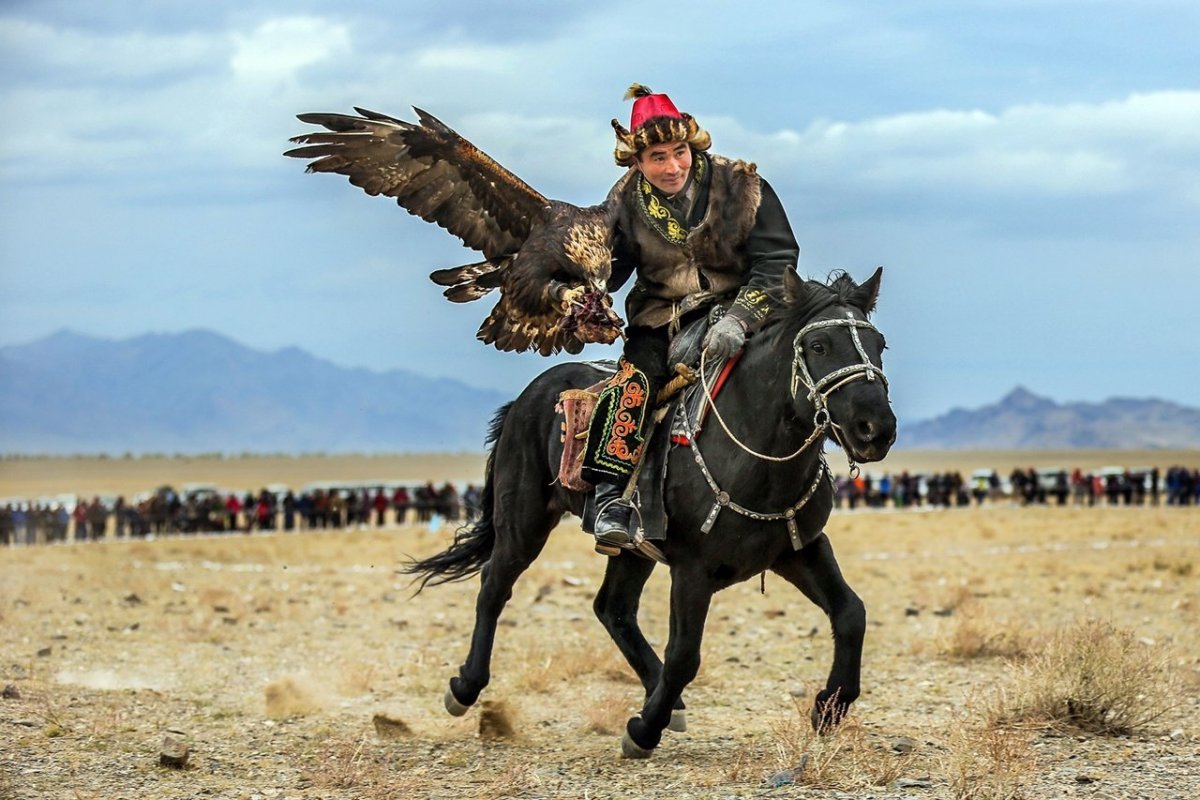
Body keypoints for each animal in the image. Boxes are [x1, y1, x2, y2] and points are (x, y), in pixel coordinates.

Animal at [408, 267, 897, 758]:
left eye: (880, 345)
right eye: (818, 346)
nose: (875, 428)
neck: (752, 454)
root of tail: (526, 398)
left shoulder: (800, 549)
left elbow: (851, 614)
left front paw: (829, 706)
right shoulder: (693, 569)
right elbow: (684, 655)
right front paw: (643, 730)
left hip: (631, 549)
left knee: (613, 608)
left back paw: (665, 697)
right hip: (524, 521)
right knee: (495, 586)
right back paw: (465, 687)